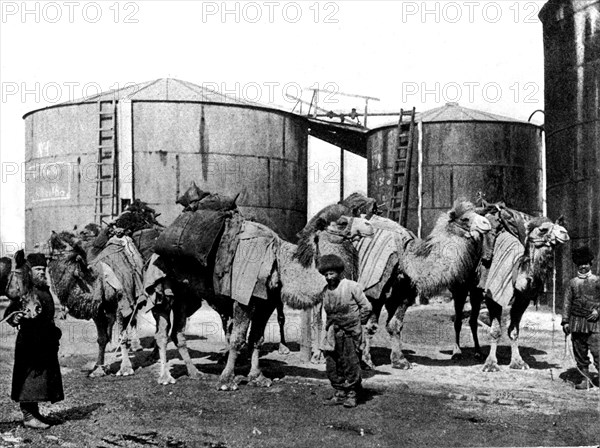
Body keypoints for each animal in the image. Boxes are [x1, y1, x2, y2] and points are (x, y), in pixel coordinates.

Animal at [149, 210, 376, 388]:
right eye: (342, 222)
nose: (369, 225)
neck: (280, 263)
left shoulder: (266, 303)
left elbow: (256, 339)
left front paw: (257, 377)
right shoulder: (244, 297)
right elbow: (237, 339)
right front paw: (226, 380)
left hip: (187, 297)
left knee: (177, 332)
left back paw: (195, 373)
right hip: (164, 292)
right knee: (162, 332)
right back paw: (165, 377)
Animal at [298, 194, 490, 370]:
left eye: (477, 213)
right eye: (465, 218)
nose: (486, 223)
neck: (405, 259)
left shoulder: (403, 293)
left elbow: (395, 325)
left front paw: (400, 361)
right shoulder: (372, 292)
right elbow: (369, 326)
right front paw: (366, 361)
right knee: (318, 316)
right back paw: (317, 355)